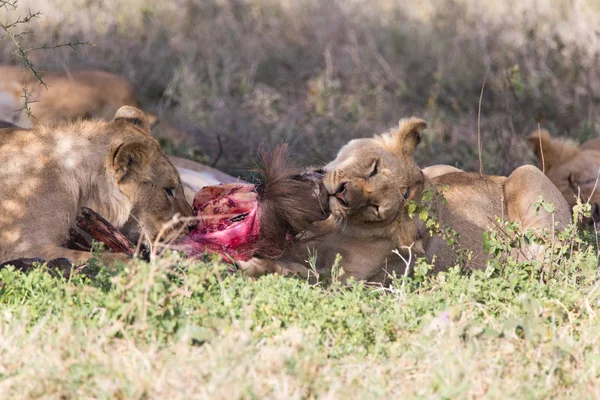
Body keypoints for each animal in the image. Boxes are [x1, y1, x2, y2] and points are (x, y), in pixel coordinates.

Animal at [240, 118, 572, 282]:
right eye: (373, 168)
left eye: (375, 208)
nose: (343, 194)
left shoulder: (359, 283)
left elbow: (310, 276)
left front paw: (257, 267)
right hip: (444, 167)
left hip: (527, 173)